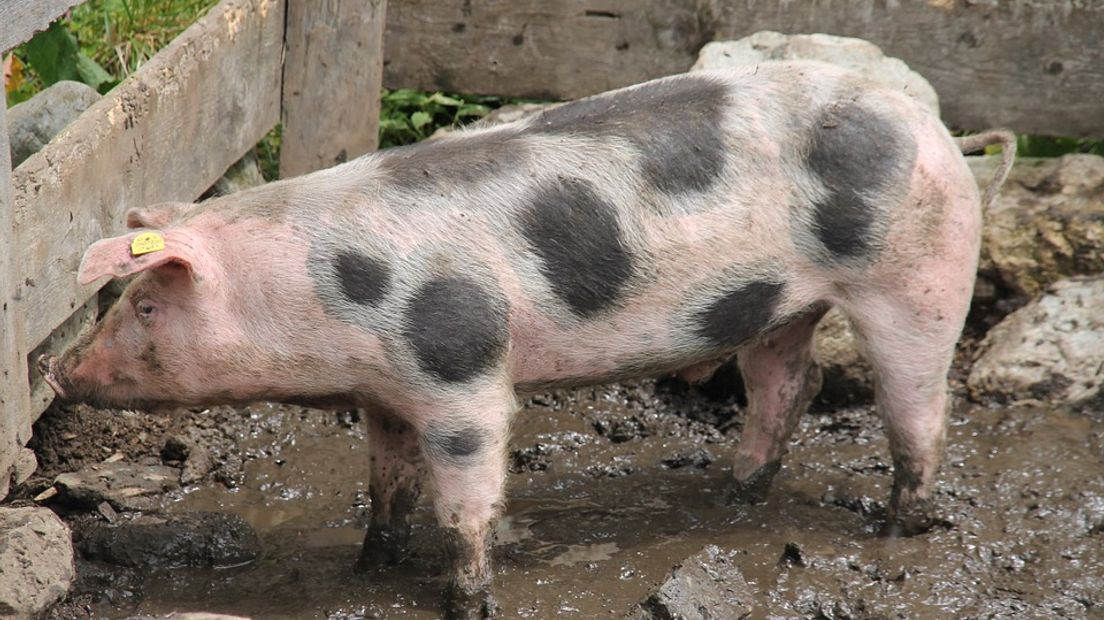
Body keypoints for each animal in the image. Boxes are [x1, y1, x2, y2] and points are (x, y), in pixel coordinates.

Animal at [45, 59, 1015, 617]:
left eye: (143, 308)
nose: (57, 370)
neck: (327, 289)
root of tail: (935, 126)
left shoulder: (460, 368)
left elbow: (467, 492)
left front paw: (466, 599)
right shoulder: (384, 391)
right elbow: (387, 484)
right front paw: (367, 568)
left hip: (917, 273)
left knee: (919, 405)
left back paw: (897, 528)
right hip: (780, 305)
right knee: (789, 385)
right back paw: (733, 496)